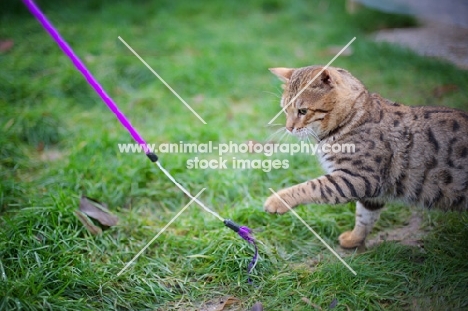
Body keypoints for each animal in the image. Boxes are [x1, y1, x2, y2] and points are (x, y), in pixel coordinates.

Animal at [266, 65, 468, 249]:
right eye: (285, 110)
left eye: (302, 111)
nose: (288, 128)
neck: (353, 118)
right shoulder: (373, 191)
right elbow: (365, 216)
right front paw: (354, 239)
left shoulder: (358, 177)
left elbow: (312, 186)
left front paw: (277, 200)